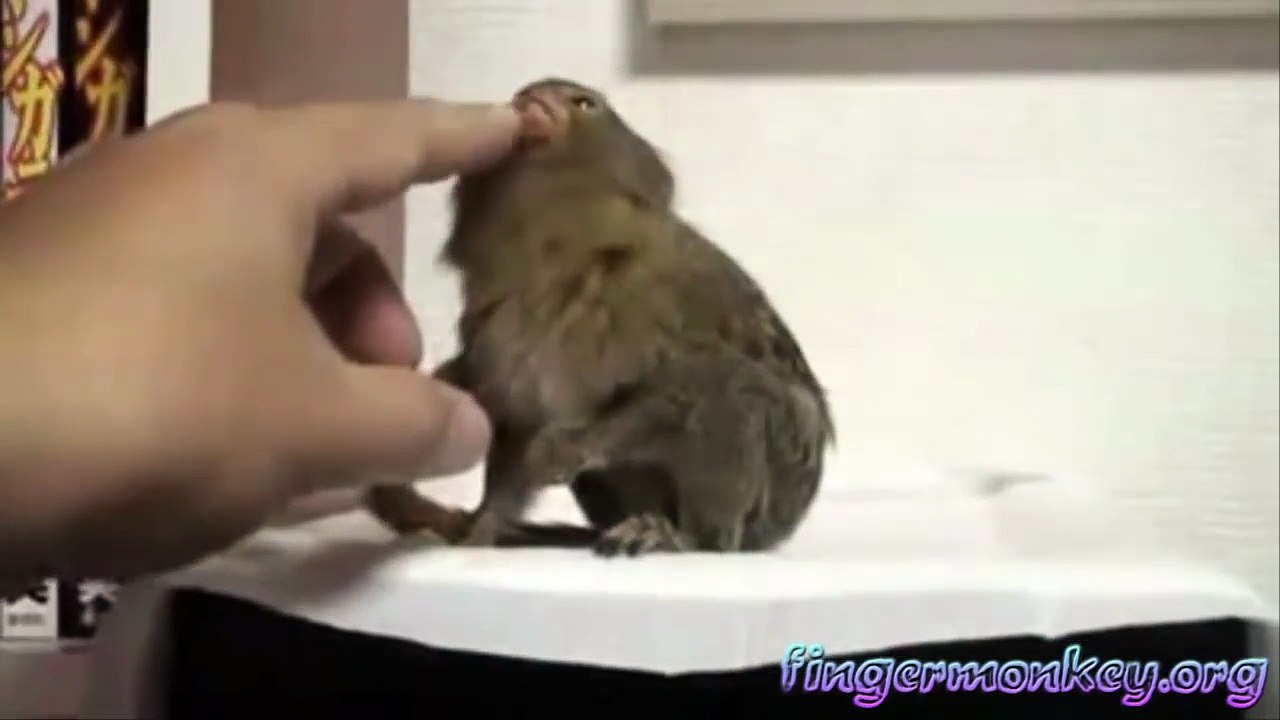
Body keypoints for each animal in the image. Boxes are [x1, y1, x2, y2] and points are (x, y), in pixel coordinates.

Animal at [363, 78, 834, 557]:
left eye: (582, 103)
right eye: (526, 93)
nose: (536, 100)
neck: (563, 260)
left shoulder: (665, 302)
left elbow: (695, 386)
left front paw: (566, 448)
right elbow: (516, 426)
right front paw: (484, 525)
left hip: (773, 501)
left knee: (745, 398)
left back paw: (684, 538)